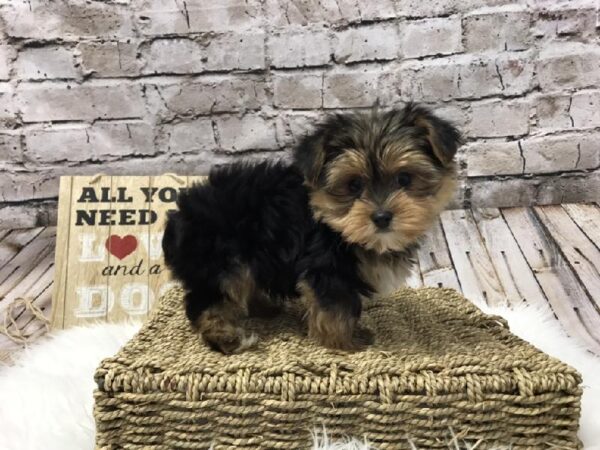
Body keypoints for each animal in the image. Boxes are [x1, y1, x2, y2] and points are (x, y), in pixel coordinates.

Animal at [162, 103, 462, 354]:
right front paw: (345, 343)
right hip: (221, 262)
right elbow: (336, 309)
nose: (381, 217)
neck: (339, 229)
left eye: (405, 179)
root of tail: (179, 217)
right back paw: (228, 338)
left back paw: (265, 307)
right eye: (354, 185)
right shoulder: (325, 269)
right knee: (207, 302)